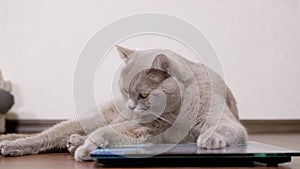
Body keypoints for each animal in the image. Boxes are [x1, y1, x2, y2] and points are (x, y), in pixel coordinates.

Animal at [0, 46, 246, 161]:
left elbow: (226, 127)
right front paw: (86, 148)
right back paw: (10, 144)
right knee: (43, 137)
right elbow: (108, 133)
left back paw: (74, 142)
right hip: (93, 118)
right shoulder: (143, 127)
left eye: (143, 94)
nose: (130, 107)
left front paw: (210, 138)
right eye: (125, 90)